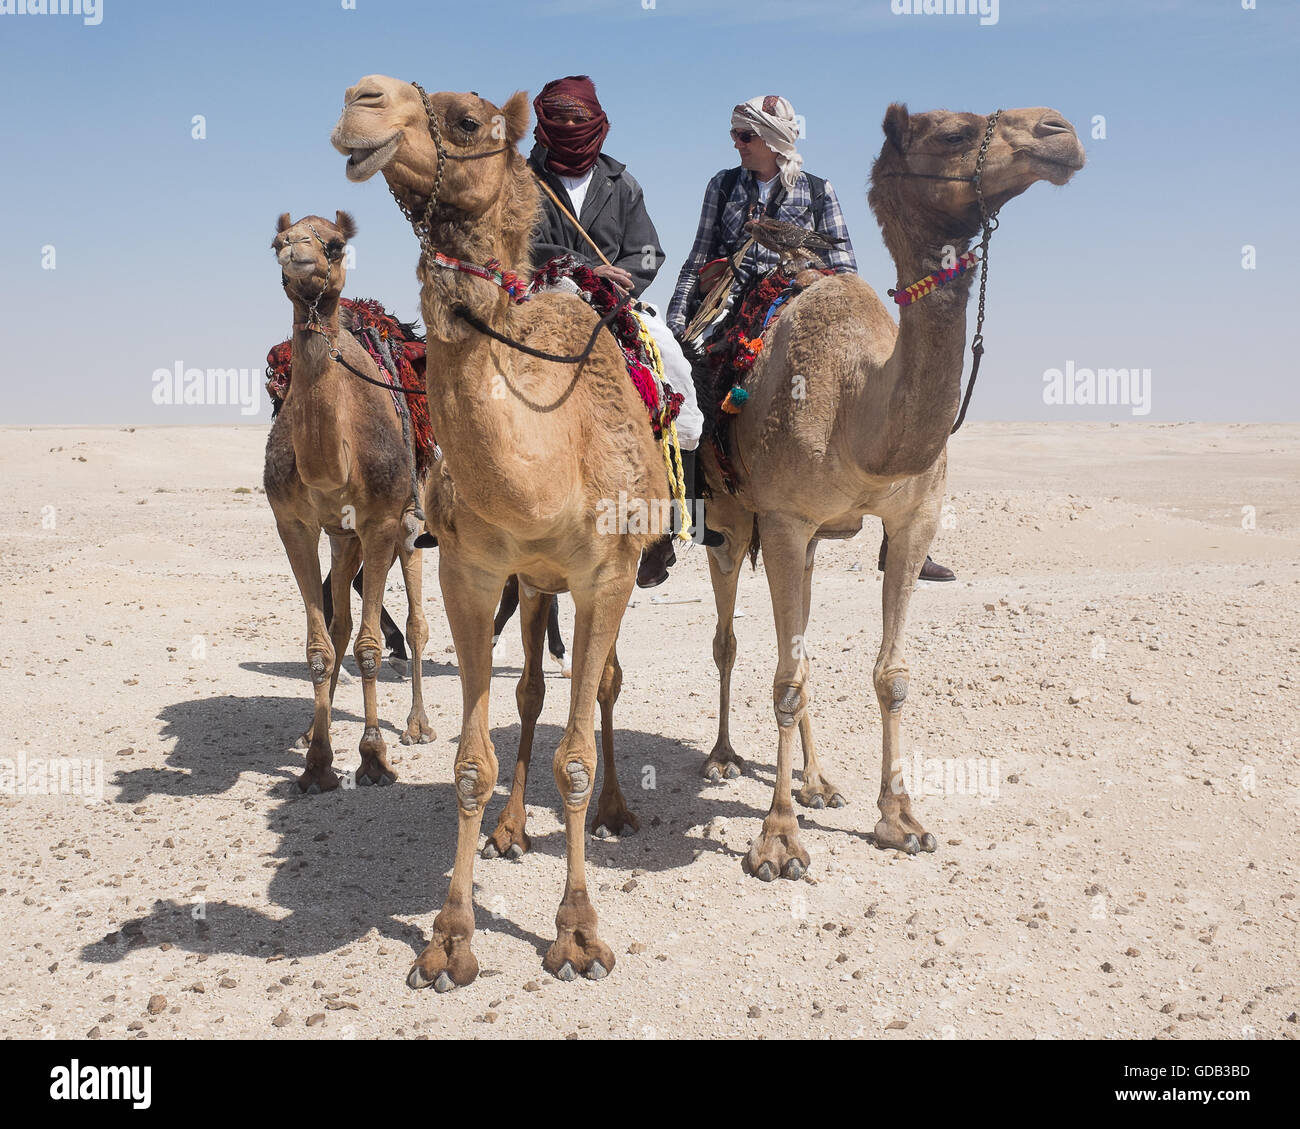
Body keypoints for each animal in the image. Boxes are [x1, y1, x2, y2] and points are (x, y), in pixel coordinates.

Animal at [264, 210, 436, 794]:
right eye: (275, 241)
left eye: (335, 245)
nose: (295, 252)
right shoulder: (294, 523)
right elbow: (320, 646)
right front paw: (317, 762)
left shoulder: (381, 522)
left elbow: (369, 647)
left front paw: (373, 758)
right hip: (344, 537)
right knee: (339, 623)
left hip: (411, 526)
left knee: (416, 624)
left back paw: (418, 725)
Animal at [332, 77, 668, 989]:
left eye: (467, 119)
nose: (360, 99)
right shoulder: (470, 573)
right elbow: (470, 760)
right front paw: (450, 938)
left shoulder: (606, 574)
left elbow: (575, 755)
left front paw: (579, 932)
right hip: (533, 582)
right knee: (531, 691)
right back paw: (513, 828)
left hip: (610, 577)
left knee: (604, 684)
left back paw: (618, 808)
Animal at [698, 105, 1085, 879]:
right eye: (952, 131)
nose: (1059, 131)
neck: (858, 407)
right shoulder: (782, 519)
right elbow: (784, 676)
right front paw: (777, 841)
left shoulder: (914, 520)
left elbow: (890, 674)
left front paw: (900, 819)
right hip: (730, 519)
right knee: (730, 638)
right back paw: (724, 758)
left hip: (807, 542)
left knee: (800, 646)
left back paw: (819, 781)